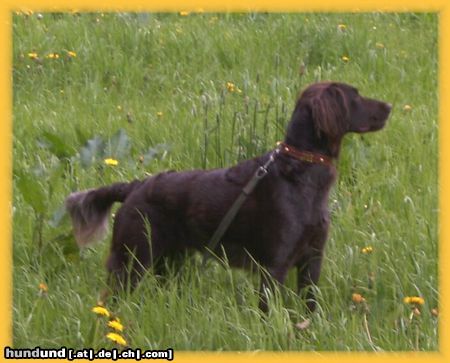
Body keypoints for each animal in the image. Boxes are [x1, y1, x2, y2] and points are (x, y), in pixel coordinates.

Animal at [66, 82, 390, 312]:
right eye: (355, 96)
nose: (389, 105)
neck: (300, 170)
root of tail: (134, 187)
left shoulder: (312, 258)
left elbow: (310, 307)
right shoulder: (275, 265)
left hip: (169, 262)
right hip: (131, 258)